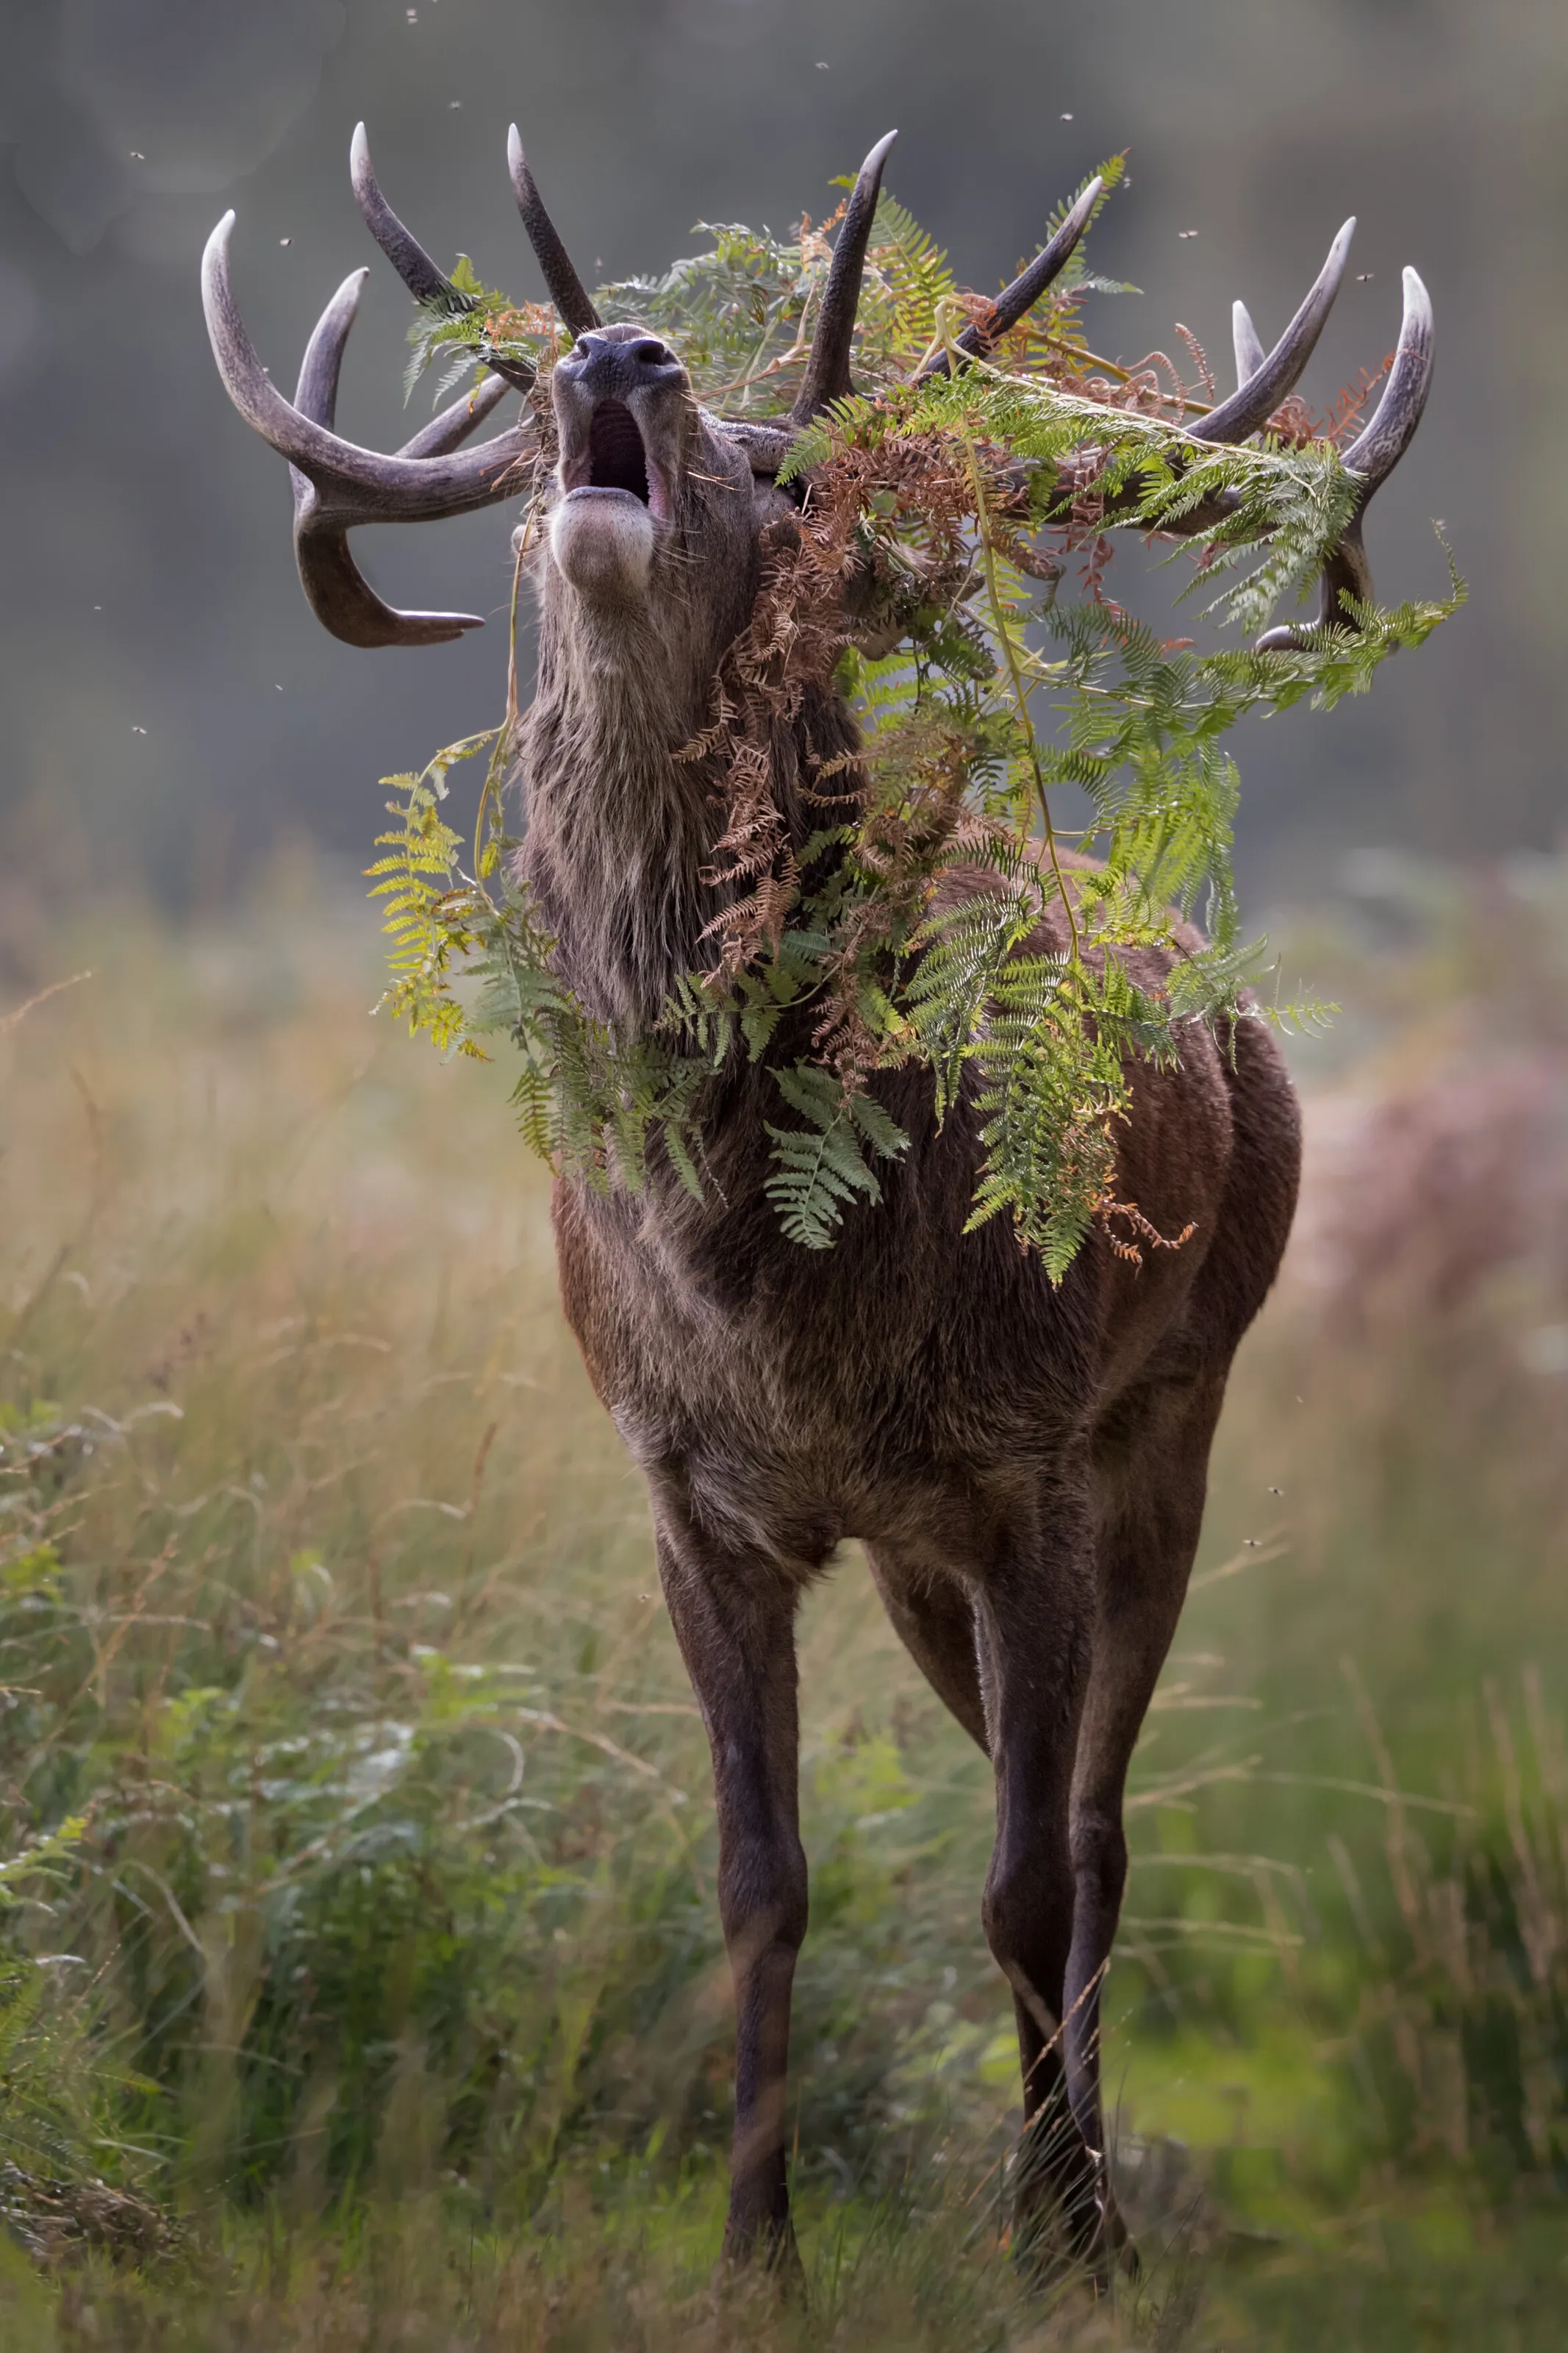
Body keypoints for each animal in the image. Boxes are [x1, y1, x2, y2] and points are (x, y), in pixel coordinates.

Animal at [202, 123, 1432, 2279]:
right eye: (540, 426)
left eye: (786, 485)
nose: (616, 353)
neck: (775, 1296)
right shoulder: (689, 1488)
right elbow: (757, 1875)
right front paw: (750, 2247)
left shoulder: (1025, 1460)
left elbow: (1025, 1876)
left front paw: (1058, 2247)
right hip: (924, 1550)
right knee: (1029, 1792)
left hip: (1169, 1406)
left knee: (1094, 1824)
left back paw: (1093, 2201)